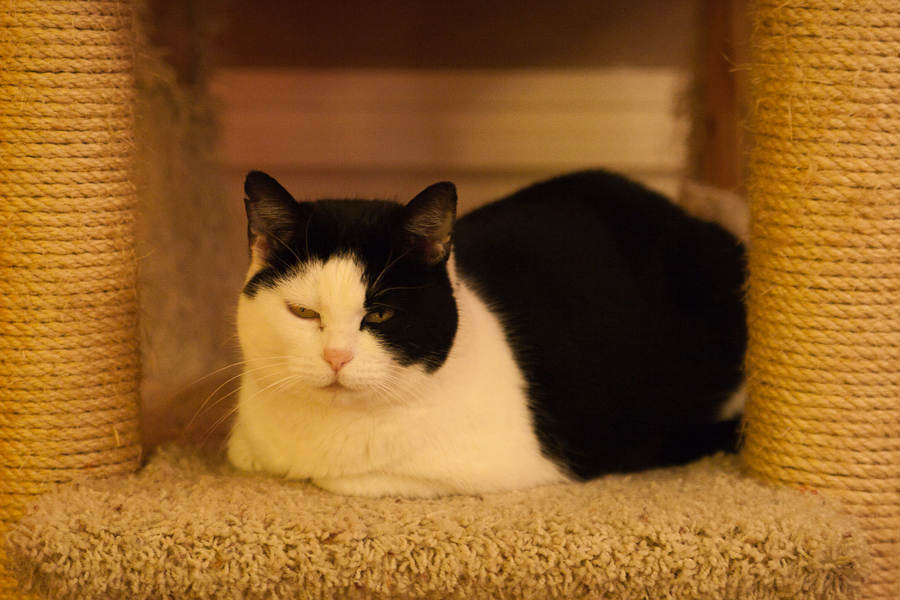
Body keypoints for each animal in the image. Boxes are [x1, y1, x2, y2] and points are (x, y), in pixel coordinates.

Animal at [225, 171, 744, 500]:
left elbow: (342, 479)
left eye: (380, 314)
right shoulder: (246, 445)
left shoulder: (506, 465)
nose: (336, 357)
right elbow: (245, 453)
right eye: (303, 312)